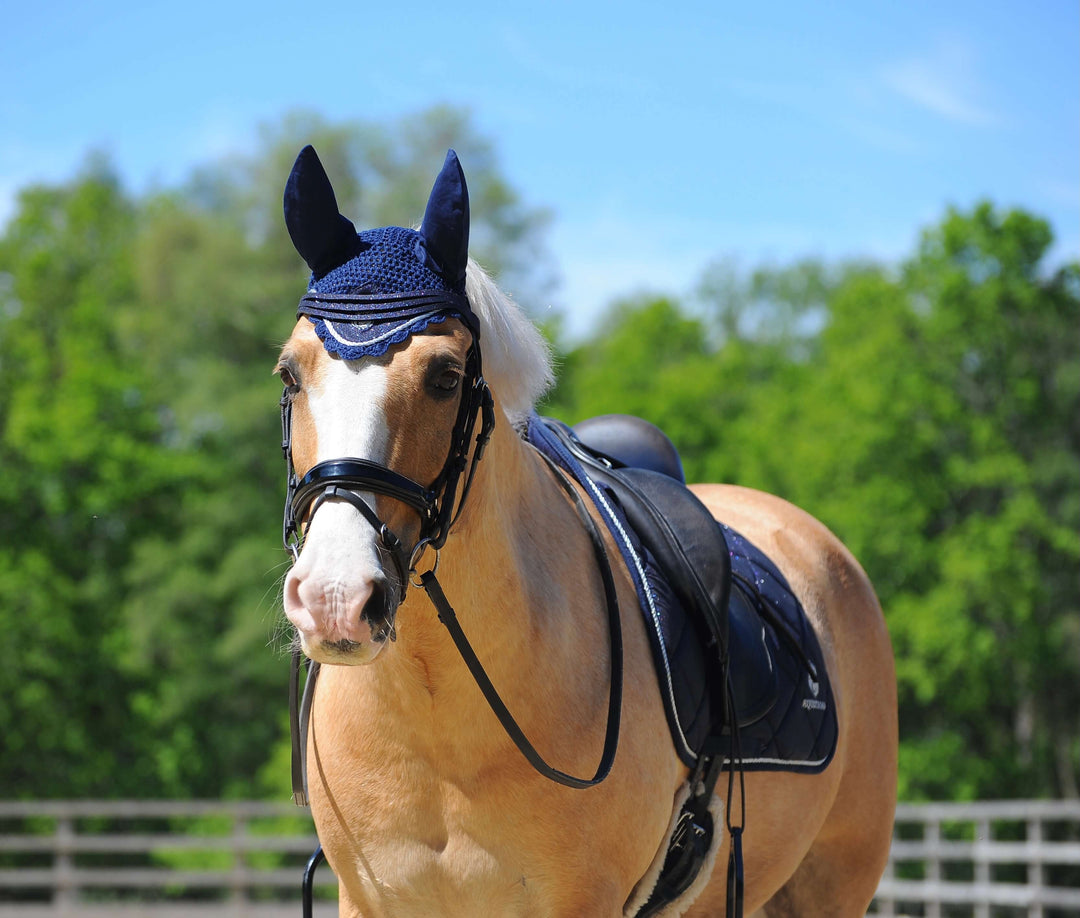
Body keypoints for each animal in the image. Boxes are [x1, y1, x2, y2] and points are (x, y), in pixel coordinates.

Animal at [274, 146, 898, 911]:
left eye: (445, 376)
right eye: (290, 375)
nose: (334, 596)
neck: (438, 722)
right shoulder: (370, 901)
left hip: (829, 886)